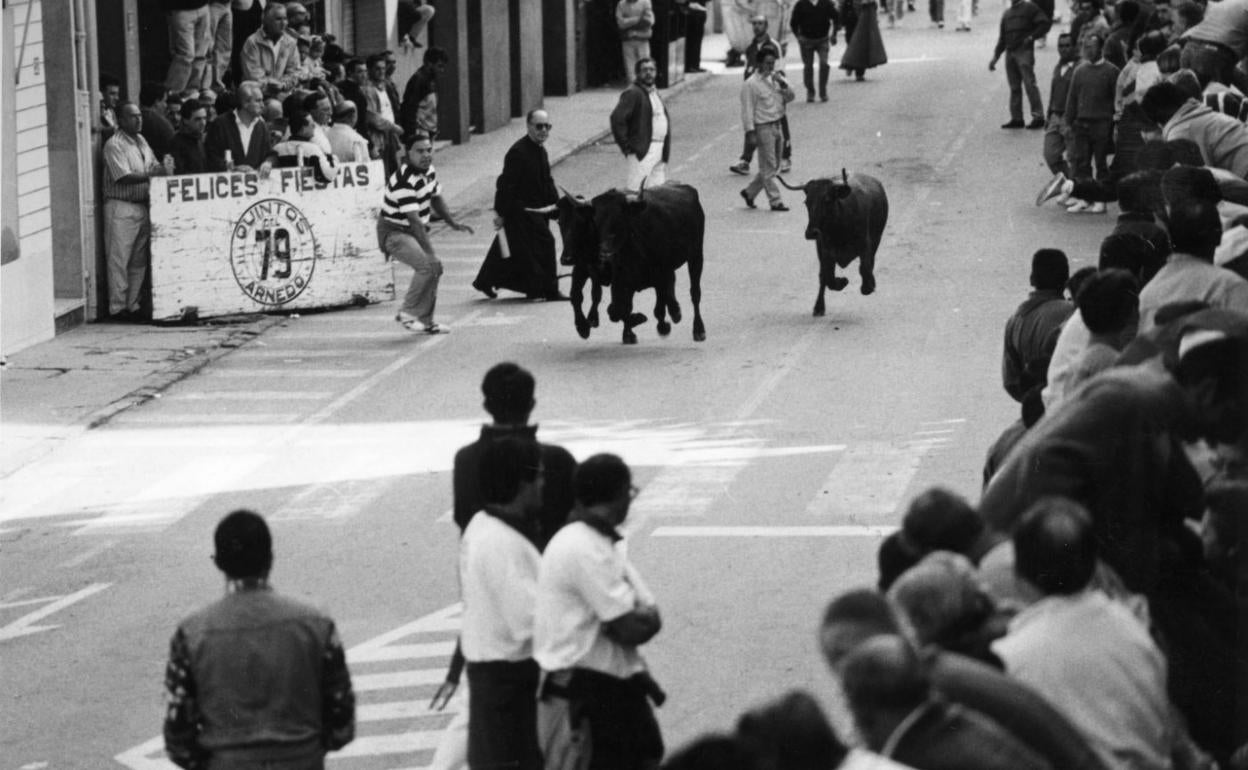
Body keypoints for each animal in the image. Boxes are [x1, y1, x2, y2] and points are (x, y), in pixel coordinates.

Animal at [778, 170, 888, 315]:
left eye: (827, 200)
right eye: (807, 202)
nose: (811, 233)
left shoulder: (866, 244)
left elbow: (864, 268)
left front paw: (868, 286)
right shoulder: (825, 251)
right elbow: (828, 277)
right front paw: (842, 281)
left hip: (877, 238)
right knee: (823, 277)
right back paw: (819, 307)